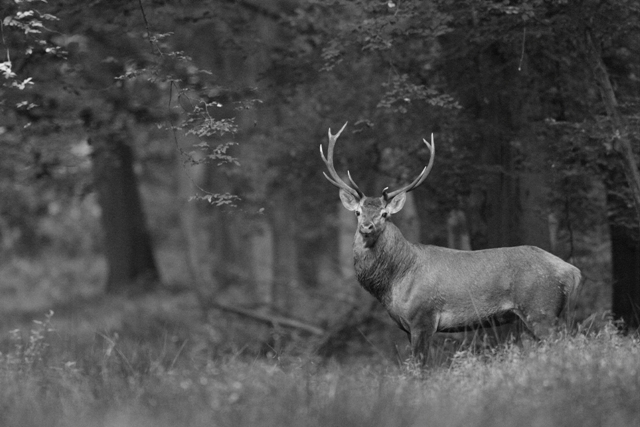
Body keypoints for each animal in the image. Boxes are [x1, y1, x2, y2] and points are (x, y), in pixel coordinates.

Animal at [320, 122, 582, 361]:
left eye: (384, 214)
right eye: (358, 212)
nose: (367, 226)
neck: (394, 283)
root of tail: (572, 272)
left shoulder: (423, 318)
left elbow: (421, 368)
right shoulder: (407, 327)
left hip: (541, 309)